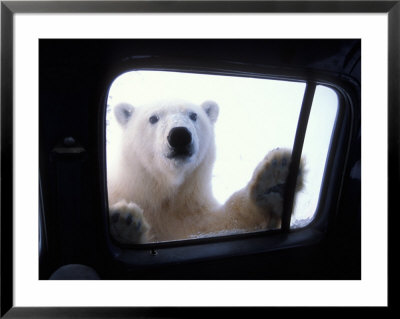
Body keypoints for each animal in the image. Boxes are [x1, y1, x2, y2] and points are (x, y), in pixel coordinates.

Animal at [106, 100, 304, 245]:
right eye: (153, 118)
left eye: (193, 115)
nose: (179, 135)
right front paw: (124, 220)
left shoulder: (188, 211)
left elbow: (221, 224)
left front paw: (273, 182)